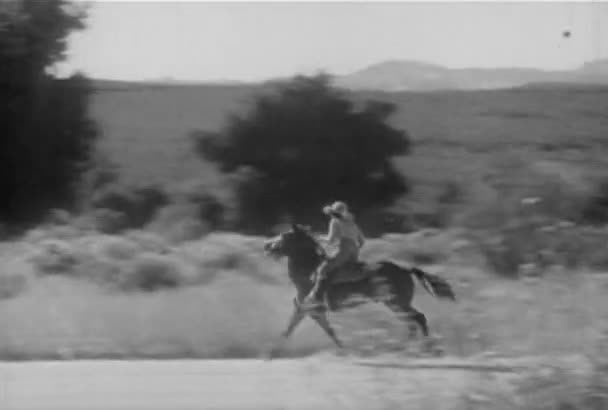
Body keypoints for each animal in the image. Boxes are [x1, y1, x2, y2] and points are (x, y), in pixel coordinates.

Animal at [262, 223, 456, 358]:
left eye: (285, 235)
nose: (267, 246)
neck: (309, 271)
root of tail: (404, 269)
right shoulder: (313, 312)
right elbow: (328, 331)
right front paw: (345, 349)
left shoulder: (307, 309)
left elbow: (289, 329)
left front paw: (271, 352)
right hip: (394, 304)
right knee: (412, 322)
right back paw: (405, 349)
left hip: (397, 303)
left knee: (418, 318)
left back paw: (425, 348)